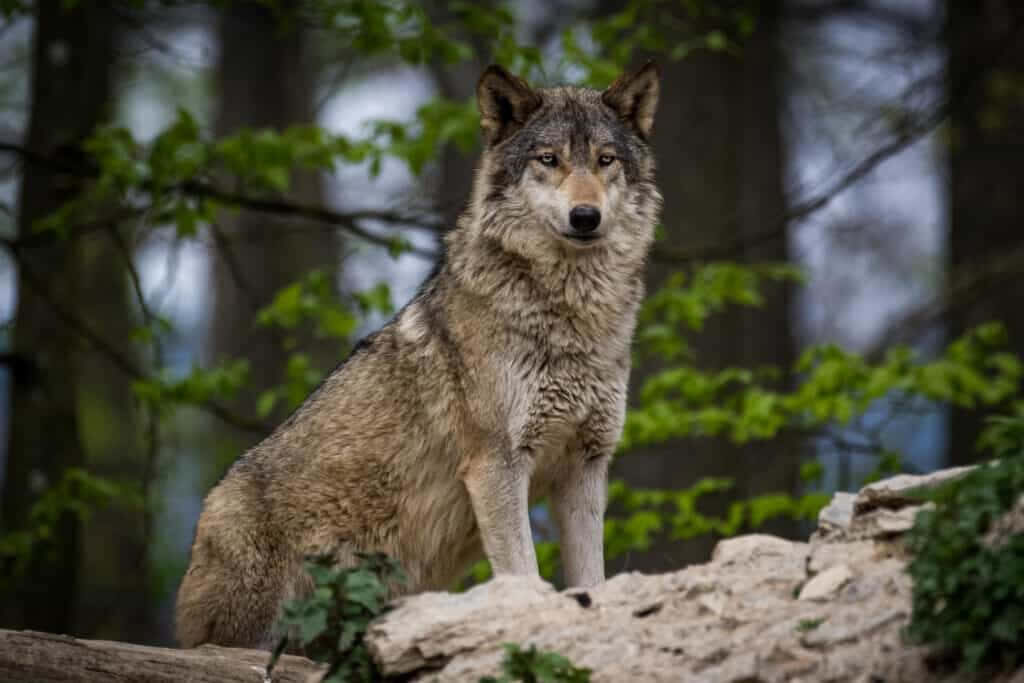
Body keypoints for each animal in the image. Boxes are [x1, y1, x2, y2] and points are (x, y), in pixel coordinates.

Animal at [175, 62, 661, 649]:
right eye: (549, 160)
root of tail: (203, 518)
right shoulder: (497, 465)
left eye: (605, 160)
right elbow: (523, 575)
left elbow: (593, 579)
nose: (585, 216)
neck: (570, 317)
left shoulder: (585, 468)